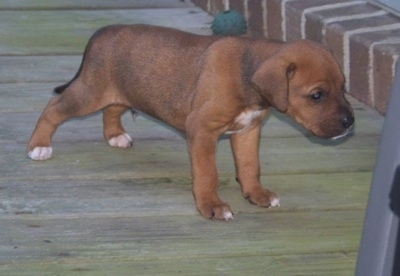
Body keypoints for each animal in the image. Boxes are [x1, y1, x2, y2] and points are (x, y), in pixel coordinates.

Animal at [26, 24, 354, 221]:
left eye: (344, 86)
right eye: (316, 95)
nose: (350, 122)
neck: (248, 74)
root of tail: (102, 31)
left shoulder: (248, 130)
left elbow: (250, 167)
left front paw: (256, 194)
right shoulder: (202, 130)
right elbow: (207, 173)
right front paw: (212, 206)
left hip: (122, 90)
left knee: (113, 109)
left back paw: (116, 136)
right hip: (90, 93)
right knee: (54, 107)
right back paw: (39, 146)